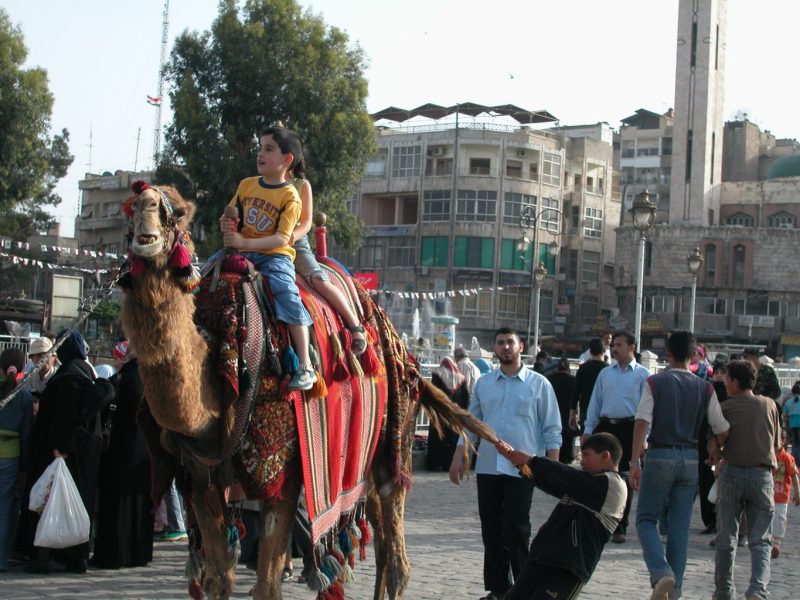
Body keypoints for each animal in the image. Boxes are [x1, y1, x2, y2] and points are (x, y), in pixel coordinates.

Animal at [119, 183, 496, 600]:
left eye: (179, 211)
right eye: (131, 207)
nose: (146, 228)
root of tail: (410, 361)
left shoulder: (282, 472)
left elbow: (266, 585)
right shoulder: (199, 476)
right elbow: (219, 578)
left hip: (395, 445)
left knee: (398, 555)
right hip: (364, 461)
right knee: (382, 543)